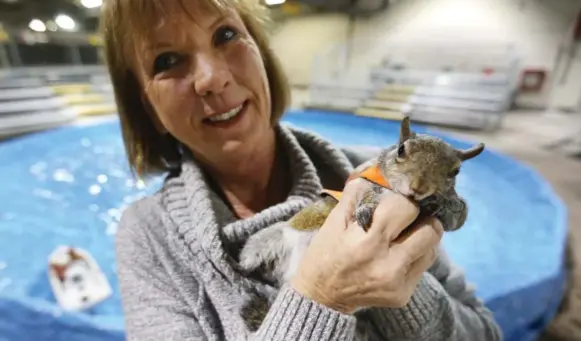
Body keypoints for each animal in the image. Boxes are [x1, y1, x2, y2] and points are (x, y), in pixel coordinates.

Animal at [236, 115, 484, 330]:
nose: (419, 188)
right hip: (266, 238)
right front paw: (367, 208)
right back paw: (243, 267)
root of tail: (288, 279)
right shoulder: (364, 181)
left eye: (456, 171)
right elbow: (368, 195)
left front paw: (442, 205)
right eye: (401, 150)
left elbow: (459, 216)